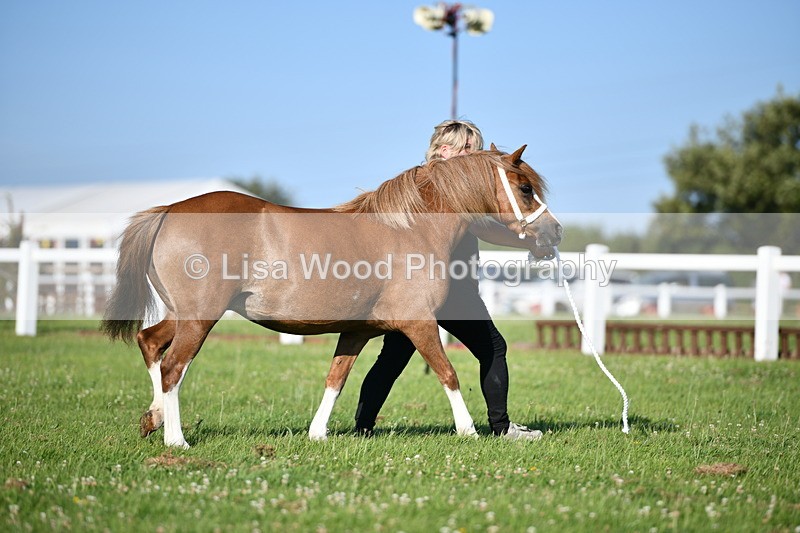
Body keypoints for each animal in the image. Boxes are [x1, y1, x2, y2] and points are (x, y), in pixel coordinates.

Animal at [101, 145, 562, 448]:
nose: (554, 232)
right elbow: (448, 373)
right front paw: (467, 430)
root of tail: (168, 211)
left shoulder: (356, 332)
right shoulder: (419, 323)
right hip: (200, 317)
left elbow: (336, 379)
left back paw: (154, 418)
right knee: (173, 367)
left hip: (184, 315)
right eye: (524, 188)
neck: (411, 228)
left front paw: (318, 434)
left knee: (149, 343)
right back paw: (176, 440)